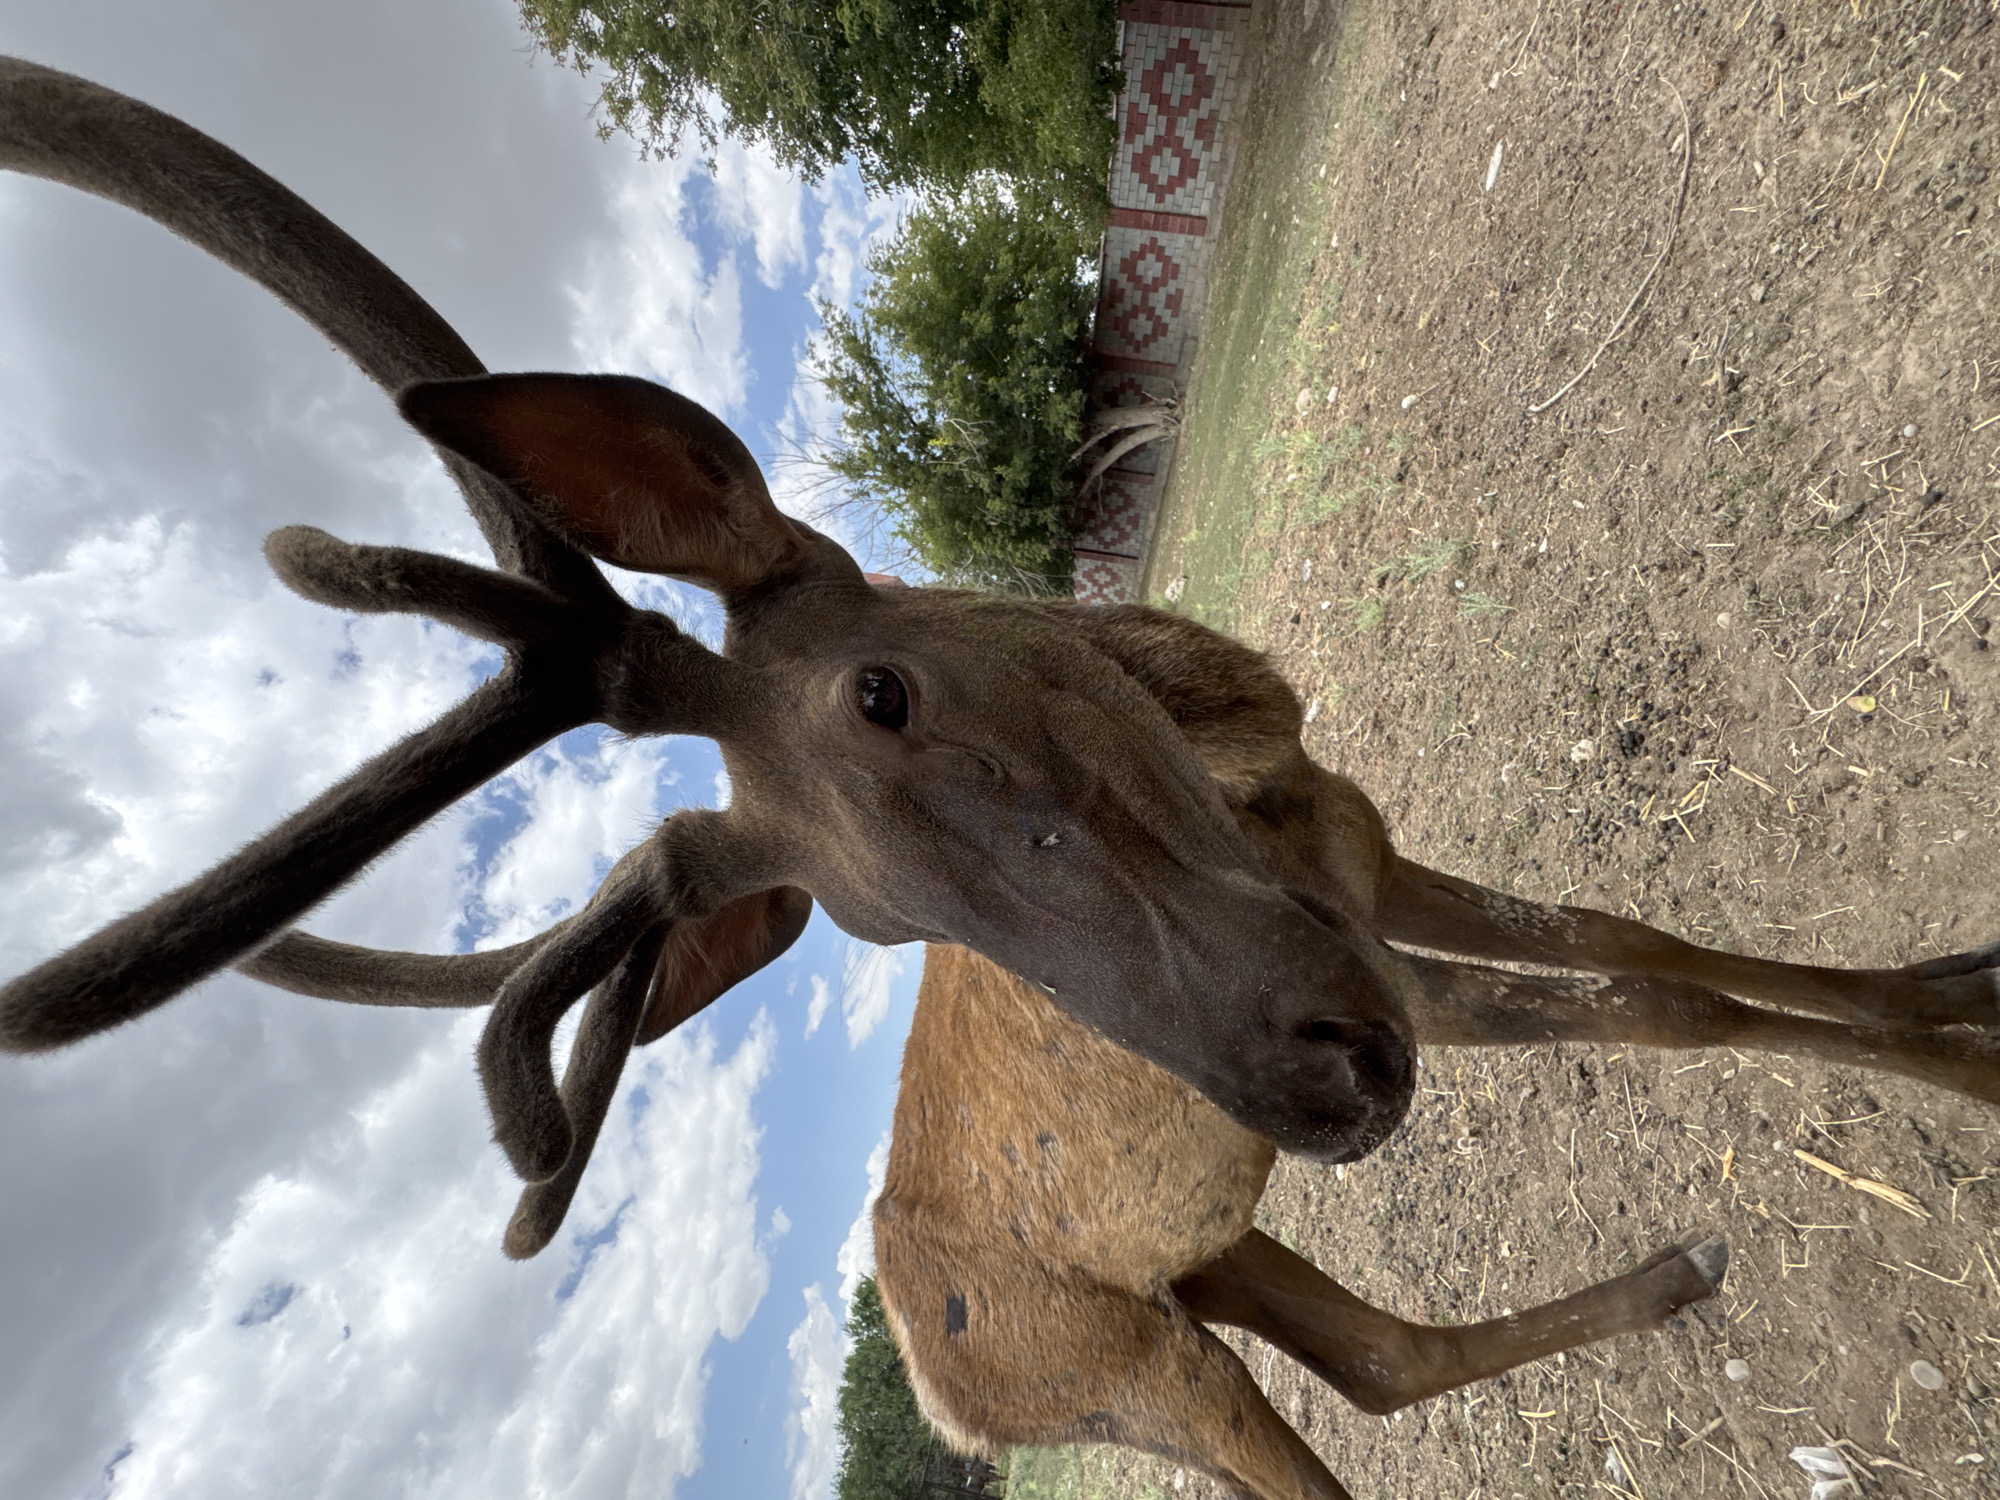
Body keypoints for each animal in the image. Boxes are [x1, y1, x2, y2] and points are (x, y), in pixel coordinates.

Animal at [2, 59, 1997, 1471]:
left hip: (1205, 1251)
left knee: (1381, 1352)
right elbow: (1660, 1008)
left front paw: (1954, 988)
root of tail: (943, 1387)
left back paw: (1678, 1271)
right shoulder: (1387, 961)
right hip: (1131, 1356)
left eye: (886, 692)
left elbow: (1647, 945)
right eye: (870, 929)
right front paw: (1971, 1072)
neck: (1256, 765)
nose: (1321, 1076)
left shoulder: (1370, 862)